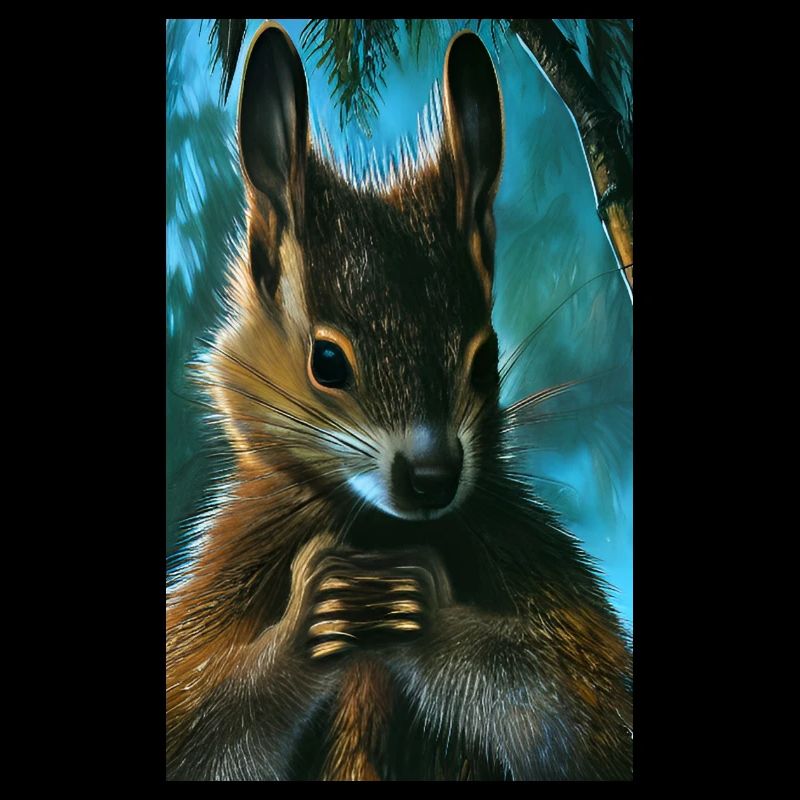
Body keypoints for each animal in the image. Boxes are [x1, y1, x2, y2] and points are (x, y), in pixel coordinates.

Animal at [166, 21, 633, 781]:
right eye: (326, 362)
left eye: (485, 360)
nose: (433, 476)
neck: (376, 530)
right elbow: (197, 728)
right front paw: (312, 618)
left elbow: (580, 721)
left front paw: (427, 611)